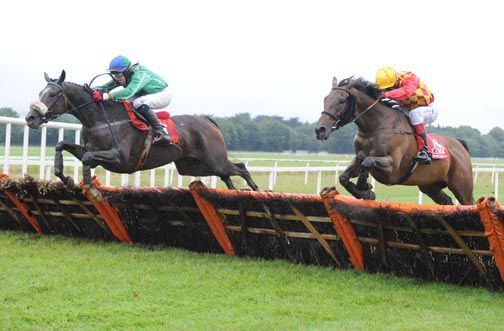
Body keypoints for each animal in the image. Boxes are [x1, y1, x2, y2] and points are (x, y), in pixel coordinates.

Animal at [25, 71, 258, 193]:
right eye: (40, 92)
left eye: (52, 94)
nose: (30, 118)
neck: (100, 118)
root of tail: (208, 121)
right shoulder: (89, 149)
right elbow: (61, 145)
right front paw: (67, 179)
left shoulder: (120, 158)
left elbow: (88, 158)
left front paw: (88, 185)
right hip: (193, 166)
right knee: (227, 174)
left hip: (213, 160)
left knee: (241, 167)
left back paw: (255, 190)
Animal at [314, 77, 474, 205]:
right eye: (325, 99)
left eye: (341, 100)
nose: (320, 129)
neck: (375, 128)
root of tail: (460, 145)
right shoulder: (358, 158)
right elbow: (344, 177)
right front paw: (366, 191)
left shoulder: (392, 170)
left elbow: (368, 162)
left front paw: (365, 187)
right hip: (430, 186)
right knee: (447, 202)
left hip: (462, 187)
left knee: (468, 203)